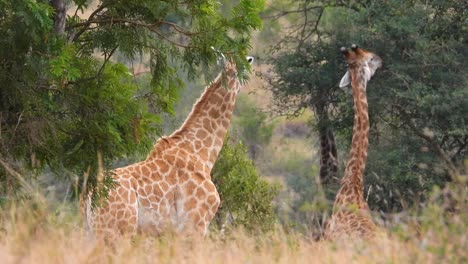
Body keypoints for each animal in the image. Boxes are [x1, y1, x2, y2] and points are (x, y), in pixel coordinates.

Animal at [83, 55, 252, 237]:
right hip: (118, 230)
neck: (201, 153)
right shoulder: (196, 224)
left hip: (94, 231)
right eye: (243, 66)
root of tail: (90, 197)